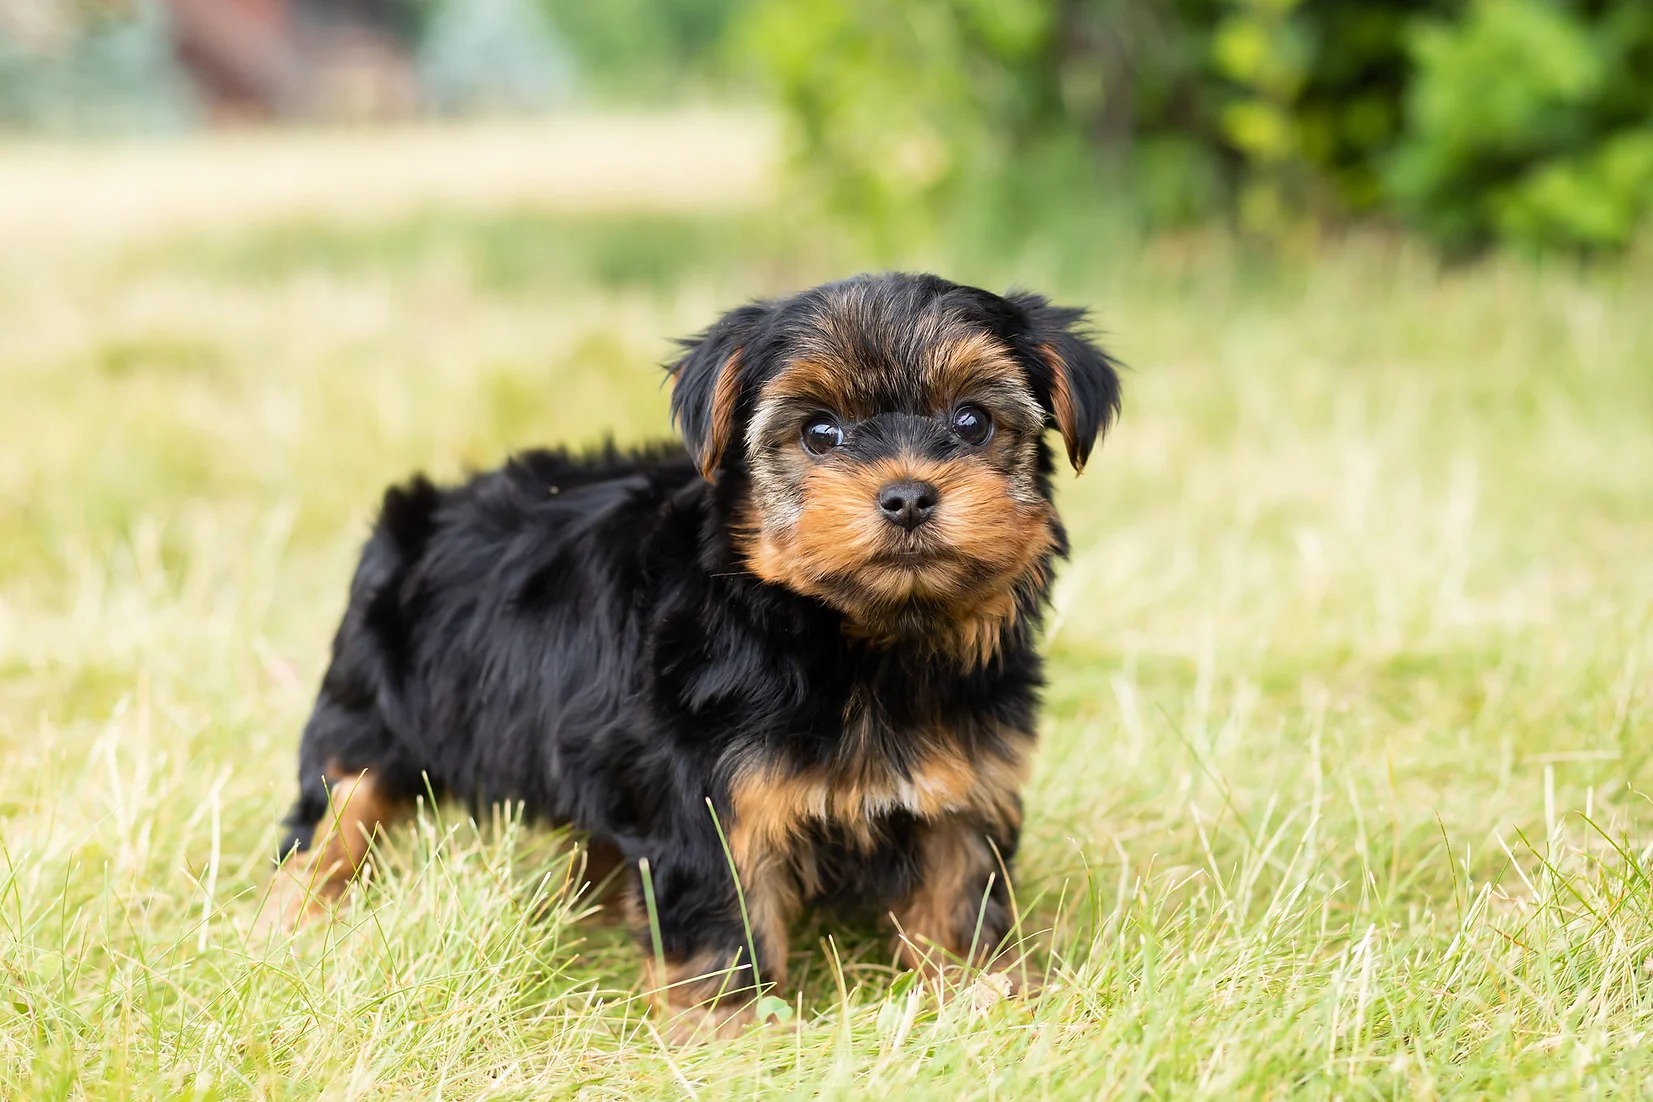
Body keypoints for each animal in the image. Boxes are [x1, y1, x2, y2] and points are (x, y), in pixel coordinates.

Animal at [257, 270, 1124, 1037]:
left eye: (973, 422)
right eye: (820, 432)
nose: (908, 496)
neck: (854, 639)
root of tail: (427, 508)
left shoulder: (963, 778)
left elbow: (956, 889)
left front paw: (981, 993)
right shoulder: (705, 794)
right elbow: (717, 916)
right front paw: (728, 1031)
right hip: (366, 710)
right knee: (337, 807)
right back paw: (290, 917)